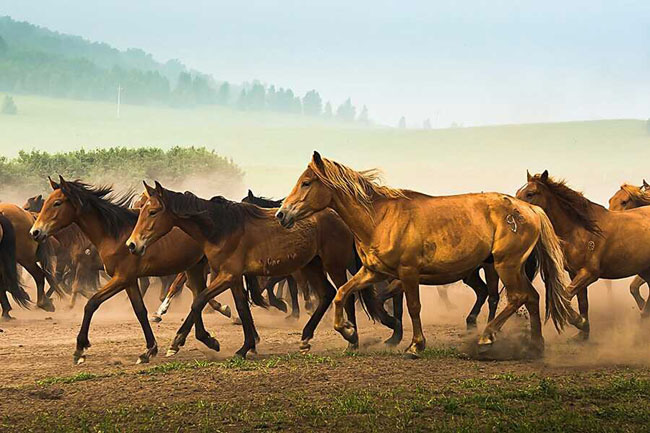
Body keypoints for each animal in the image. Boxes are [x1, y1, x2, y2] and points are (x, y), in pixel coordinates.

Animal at [31, 177, 230, 362]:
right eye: (46, 202)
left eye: (57, 203)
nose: (35, 232)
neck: (114, 234)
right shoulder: (129, 280)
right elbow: (140, 311)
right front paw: (149, 350)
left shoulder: (121, 278)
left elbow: (92, 303)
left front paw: (80, 348)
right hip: (194, 267)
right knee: (198, 296)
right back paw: (192, 339)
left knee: (199, 295)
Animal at [124, 182, 392, 358]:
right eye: (142, 209)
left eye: (153, 211)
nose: (133, 244)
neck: (220, 227)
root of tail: (339, 215)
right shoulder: (233, 278)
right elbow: (242, 309)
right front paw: (246, 346)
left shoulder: (227, 275)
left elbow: (199, 300)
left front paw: (179, 342)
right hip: (311, 265)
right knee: (326, 294)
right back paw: (306, 338)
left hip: (333, 264)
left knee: (345, 295)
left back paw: (351, 338)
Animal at [276, 152, 580, 354]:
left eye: (306, 182)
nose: (281, 214)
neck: (380, 218)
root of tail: (530, 210)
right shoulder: (373, 271)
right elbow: (343, 293)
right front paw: (349, 332)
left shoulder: (408, 273)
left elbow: (412, 307)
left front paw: (415, 344)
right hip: (509, 268)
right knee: (532, 297)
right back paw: (535, 344)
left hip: (506, 265)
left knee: (519, 296)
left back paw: (487, 336)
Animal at [516, 170, 650, 338]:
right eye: (518, 193)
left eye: (530, 193)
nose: (514, 213)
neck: (581, 230)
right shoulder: (575, 273)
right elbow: (582, 302)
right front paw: (583, 332)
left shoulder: (589, 273)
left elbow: (564, 298)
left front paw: (580, 322)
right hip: (644, 270)